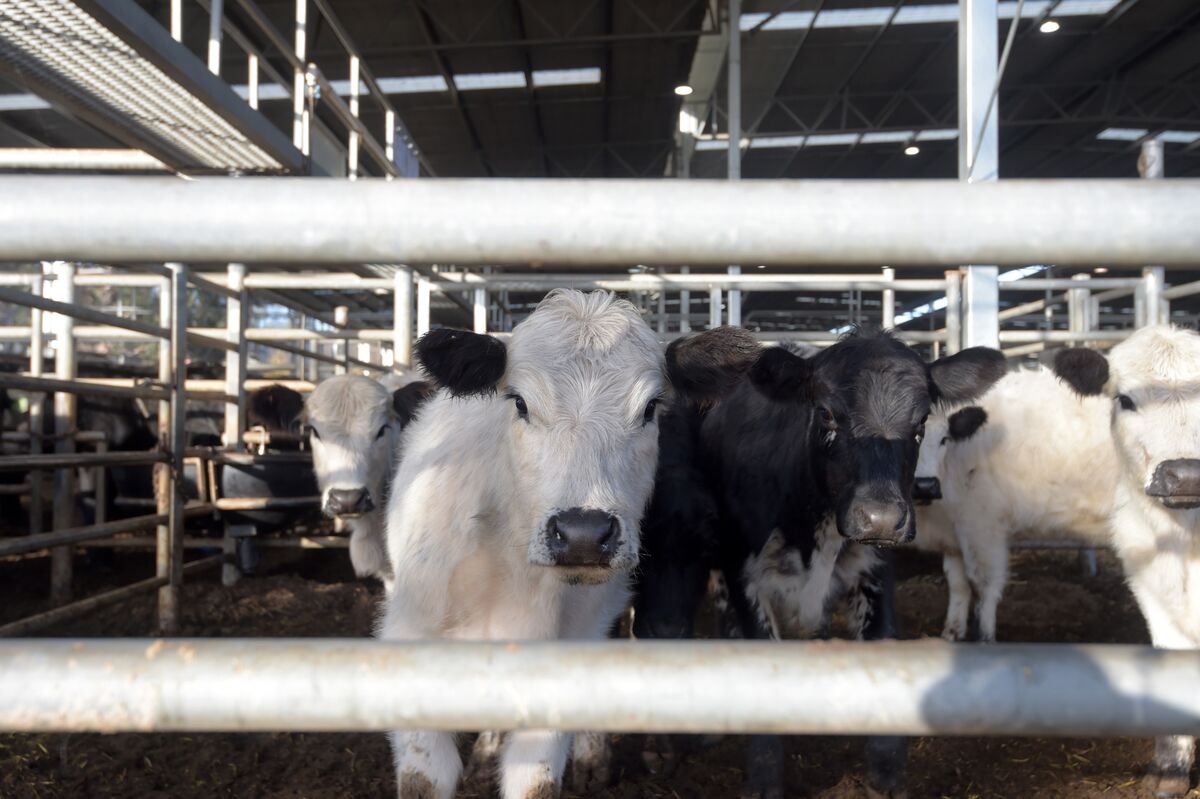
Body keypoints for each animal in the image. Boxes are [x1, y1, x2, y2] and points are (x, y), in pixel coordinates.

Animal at [665, 326, 1007, 799]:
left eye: (921, 423)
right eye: (826, 414)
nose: (880, 517)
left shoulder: (875, 572)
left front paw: (886, 778)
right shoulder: (743, 574)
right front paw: (764, 779)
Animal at [911, 366, 1116, 642]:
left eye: (944, 438)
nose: (924, 485)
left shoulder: (983, 527)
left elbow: (983, 584)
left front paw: (985, 635)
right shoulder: (953, 534)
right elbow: (957, 583)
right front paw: (952, 632)